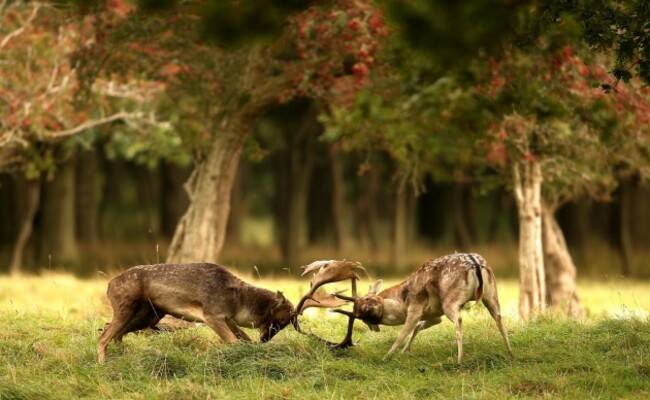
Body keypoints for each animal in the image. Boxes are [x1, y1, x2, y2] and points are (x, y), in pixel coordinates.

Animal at [97, 262, 349, 362]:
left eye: (287, 323)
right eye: (280, 318)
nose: (266, 339)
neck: (237, 303)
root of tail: (108, 285)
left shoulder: (228, 319)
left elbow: (243, 339)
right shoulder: (212, 315)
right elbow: (234, 342)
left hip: (150, 314)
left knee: (113, 331)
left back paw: (122, 356)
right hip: (126, 306)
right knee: (103, 336)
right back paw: (102, 363)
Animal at [329, 253, 514, 363]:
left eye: (367, 300)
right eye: (361, 315)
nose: (368, 309)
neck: (402, 302)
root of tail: (476, 264)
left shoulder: (415, 308)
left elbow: (403, 333)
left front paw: (386, 356)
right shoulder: (434, 315)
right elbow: (418, 328)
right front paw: (404, 352)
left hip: (450, 300)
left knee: (459, 320)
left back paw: (459, 359)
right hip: (491, 294)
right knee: (499, 318)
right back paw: (510, 352)